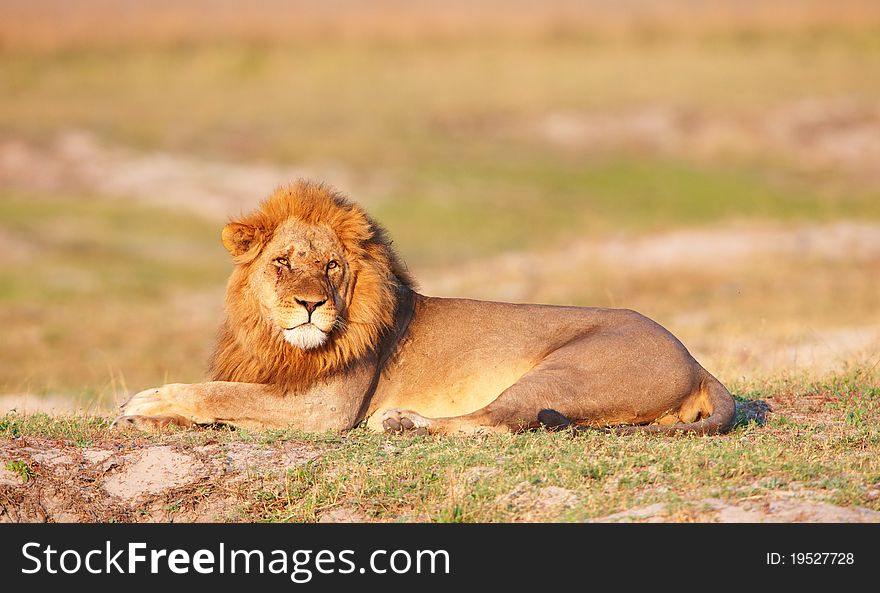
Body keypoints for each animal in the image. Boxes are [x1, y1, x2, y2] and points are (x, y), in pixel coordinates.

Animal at [115, 180, 736, 434]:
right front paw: (158, 414)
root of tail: (696, 360)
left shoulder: (327, 409)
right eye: (283, 263)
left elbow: (221, 393)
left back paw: (403, 422)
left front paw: (146, 402)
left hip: (565, 372)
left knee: (503, 423)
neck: (274, 339)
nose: (311, 305)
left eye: (332, 267)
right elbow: (227, 392)